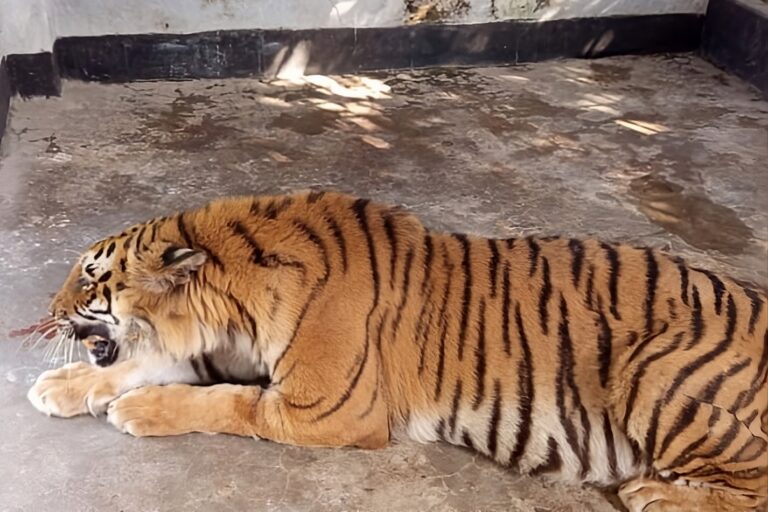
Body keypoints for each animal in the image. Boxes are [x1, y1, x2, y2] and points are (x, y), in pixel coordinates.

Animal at [27, 190, 767, 511]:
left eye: (90, 276)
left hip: (652, 368)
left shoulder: (325, 409)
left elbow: (223, 401)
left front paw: (138, 410)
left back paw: (655, 494)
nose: (46, 313)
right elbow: (147, 361)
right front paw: (62, 388)